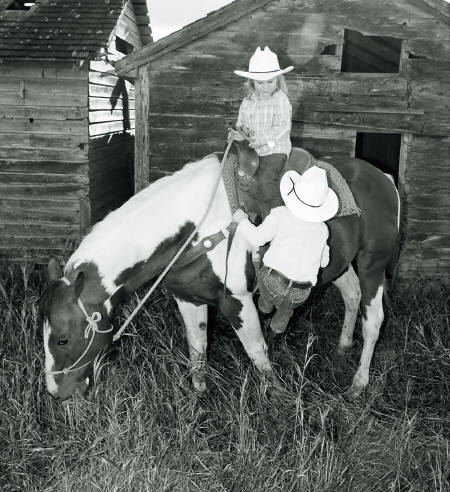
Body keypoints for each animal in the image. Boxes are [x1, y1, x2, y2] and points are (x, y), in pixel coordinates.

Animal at [41, 148, 400, 402]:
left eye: (62, 339)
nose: (56, 393)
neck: (196, 229)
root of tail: (384, 176)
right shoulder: (187, 298)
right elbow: (197, 349)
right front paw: (199, 397)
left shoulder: (237, 301)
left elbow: (257, 352)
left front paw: (276, 397)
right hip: (339, 265)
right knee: (352, 296)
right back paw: (343, 346)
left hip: (372, 265)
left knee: (373, 321)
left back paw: (358, 384)